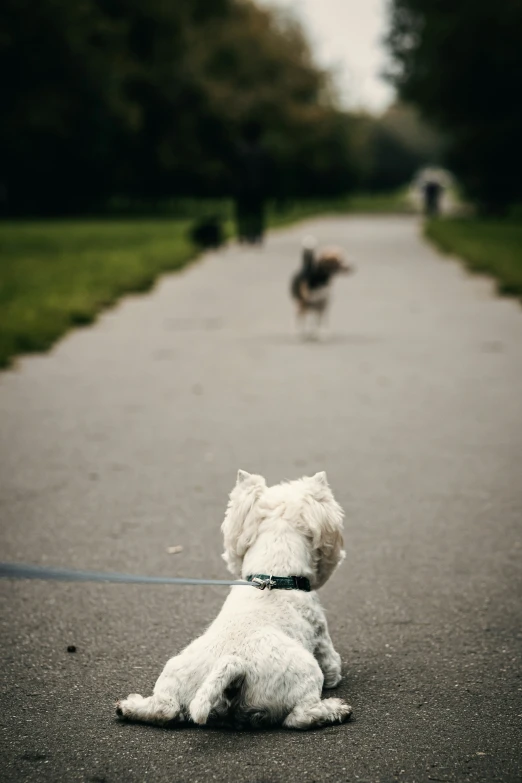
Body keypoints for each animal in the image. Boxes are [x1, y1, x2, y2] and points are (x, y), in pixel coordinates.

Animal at [116, 468, 352, 732]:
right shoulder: (321, 636)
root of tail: (235, 665)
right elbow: (332, 665)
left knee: (164, 709)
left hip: (174, 676)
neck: (274, 573)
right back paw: (336, 709)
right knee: (299, 716)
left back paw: (128, 706)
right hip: (306, 676)